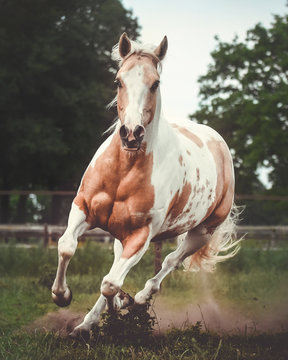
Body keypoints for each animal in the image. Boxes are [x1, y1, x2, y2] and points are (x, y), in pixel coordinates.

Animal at [51, 33, 241, 338]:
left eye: (155, 83)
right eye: (118, 81)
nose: (131, 133)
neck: (124, 171)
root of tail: (218, 143)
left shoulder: (141, 235)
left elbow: (110, 284)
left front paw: (123, 306)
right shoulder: (82, 208)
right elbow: (67, 246)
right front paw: (63, 296)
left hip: (202, 231)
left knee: (169, 262)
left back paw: (139, 298)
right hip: (120, 235)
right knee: (117, 268)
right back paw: (85, 324)